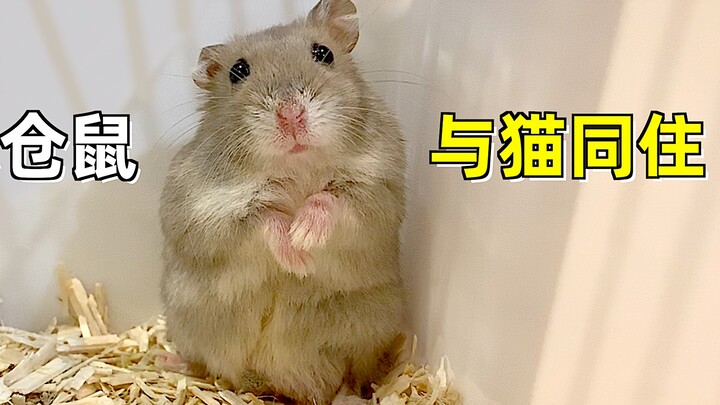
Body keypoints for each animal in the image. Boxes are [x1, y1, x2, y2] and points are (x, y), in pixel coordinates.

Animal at [159, 0, 406, 403]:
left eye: (323, 53)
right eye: (238, 71)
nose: (291, 115)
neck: (296, 163)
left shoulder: (378, 193)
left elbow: (328, 198)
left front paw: (304, 239)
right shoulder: (200, 212)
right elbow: (262, 217)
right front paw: (297, 256)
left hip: (369, 325)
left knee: (354, 370)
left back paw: (349, 392)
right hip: (192, 326)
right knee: (207, 365)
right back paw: (169, 361)